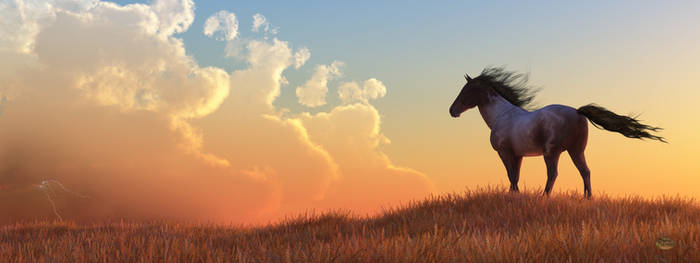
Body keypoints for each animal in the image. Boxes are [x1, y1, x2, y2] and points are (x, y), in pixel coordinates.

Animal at [452, 67, 664, 199]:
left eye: (467, 90)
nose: (452, 110)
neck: (501, 115)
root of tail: (578, 112)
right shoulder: (518, 155)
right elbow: (515, 176)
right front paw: (514, 195)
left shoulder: (505, 153)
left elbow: (511, 175)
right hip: (576, 150)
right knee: (585, 171)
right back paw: (587, 198)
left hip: (552, 153)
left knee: (553, 173)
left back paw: (544, 196)